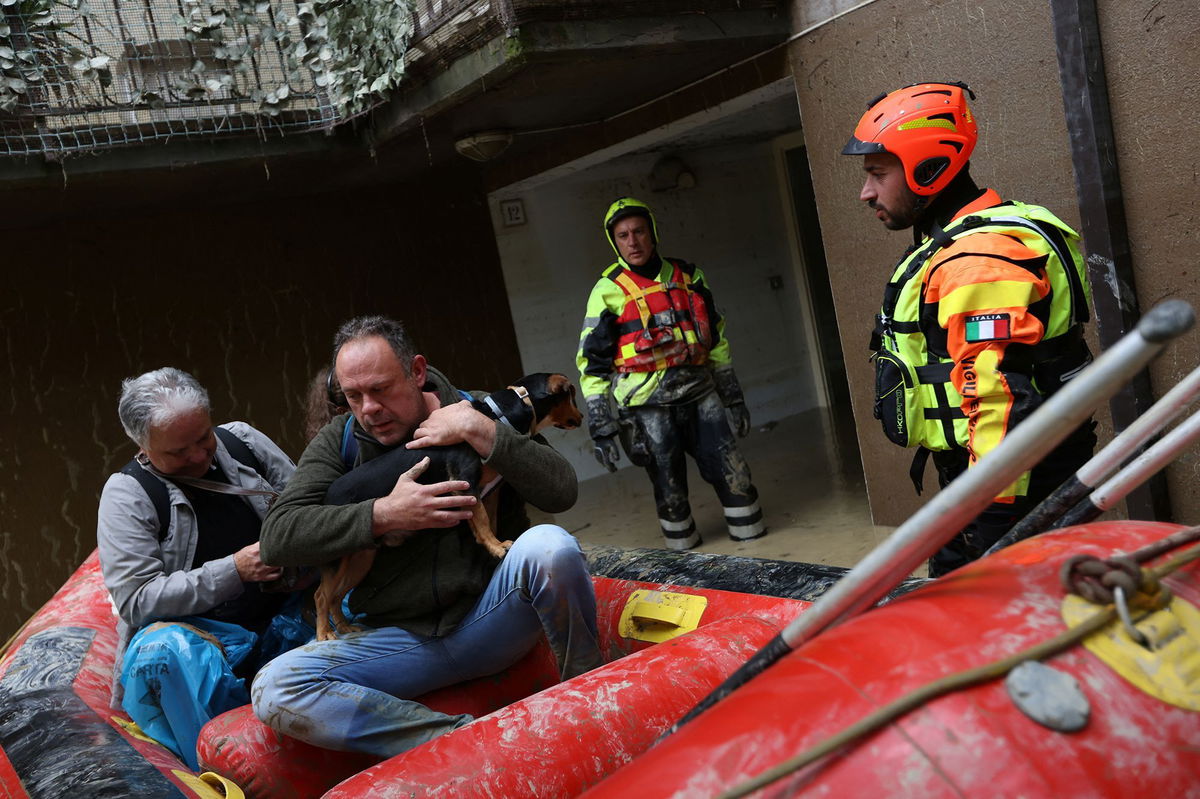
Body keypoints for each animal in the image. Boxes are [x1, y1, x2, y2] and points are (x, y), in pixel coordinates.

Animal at [314, 374, 580, 643]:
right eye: (571, 394)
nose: (580, 417)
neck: (499, 414)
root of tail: (325, 501)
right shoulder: (465, 481)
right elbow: (483, 521)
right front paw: (496, 547)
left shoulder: (487, 492)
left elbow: (486, 520)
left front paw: (494, 546)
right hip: (338, 559)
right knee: (321, 595)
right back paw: (325, 632)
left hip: (361, 558)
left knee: (336, 595)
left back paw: (344, 627)